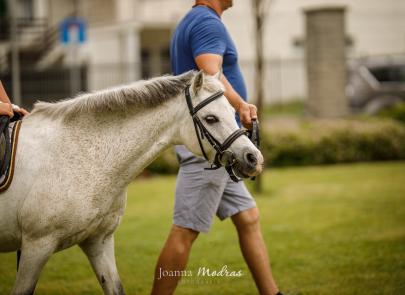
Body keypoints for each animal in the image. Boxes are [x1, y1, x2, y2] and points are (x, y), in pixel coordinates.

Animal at [0, 71, 262, 295]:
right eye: (211, 118)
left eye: (232, 110)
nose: (254, 158)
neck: (77, 154)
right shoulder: (36, 247)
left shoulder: (98, 241)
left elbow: (115, 287)